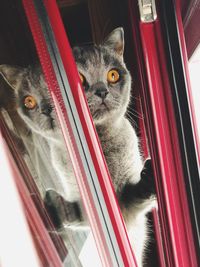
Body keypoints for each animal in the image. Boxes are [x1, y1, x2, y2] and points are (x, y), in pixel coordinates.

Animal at [0, 28, 156, 266]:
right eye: (29, 102)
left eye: (112, 75)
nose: (101, 91)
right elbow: (78, 214)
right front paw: (54, 207)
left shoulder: (129, 205)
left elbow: (136, 195)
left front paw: (148, 178)